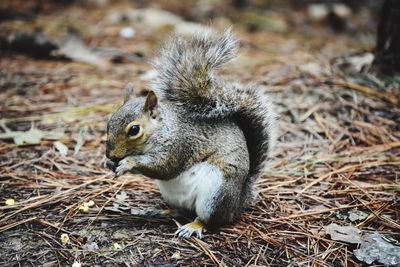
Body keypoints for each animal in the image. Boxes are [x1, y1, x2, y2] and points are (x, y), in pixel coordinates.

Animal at [104, 28, 276, 240]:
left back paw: (193, 226)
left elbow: (163, 167)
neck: (164, 128)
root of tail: (239, 201)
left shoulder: (179, 145)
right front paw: (110, 164)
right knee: (181, 210)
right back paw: (161, 211)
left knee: (207, 219)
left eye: (134, 130)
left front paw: (128, 162)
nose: (110, 155)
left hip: (215, 195)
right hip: (174, 195)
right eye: (109, 122)